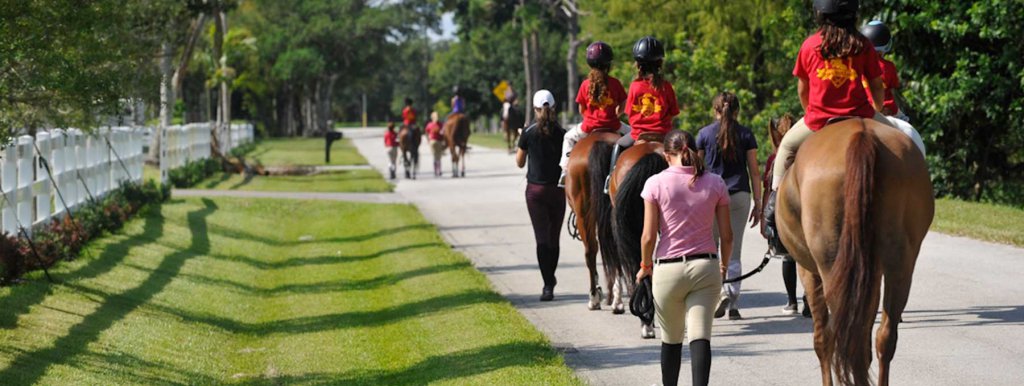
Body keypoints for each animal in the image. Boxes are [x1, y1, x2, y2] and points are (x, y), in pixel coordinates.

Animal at [774, 118, 937, 382]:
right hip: (900, 265)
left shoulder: (808, 271)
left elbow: (822, 339)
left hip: (832, 267)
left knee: (847, 342)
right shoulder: (872, 274)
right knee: (883, 338)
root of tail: (862, 136)